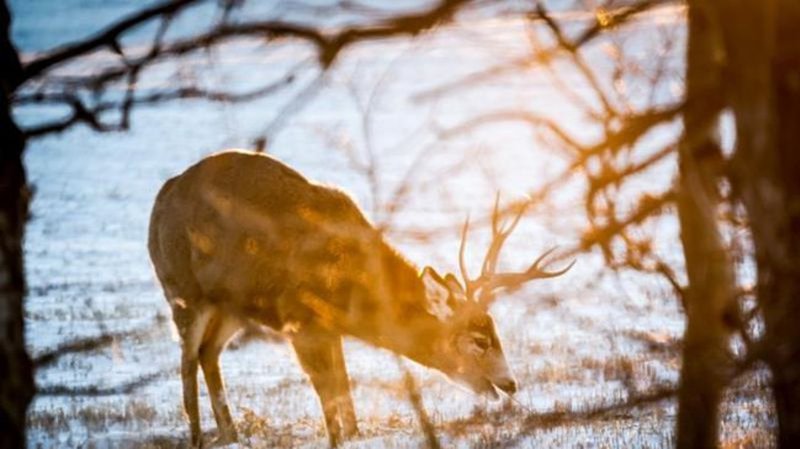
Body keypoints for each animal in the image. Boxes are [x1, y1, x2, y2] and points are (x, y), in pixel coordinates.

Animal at [148, 149, 576, 446]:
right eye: (479, 340)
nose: (511, 383)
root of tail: (163, 194)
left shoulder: (328, 328)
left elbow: (343, 382)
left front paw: (355, 434)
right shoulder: (299, 320)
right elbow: (326, 389)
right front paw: (336, 438)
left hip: (231, 307)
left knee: (208, 354)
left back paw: (231, 435)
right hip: (181, 290)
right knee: (187, 359)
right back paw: (197, 438)